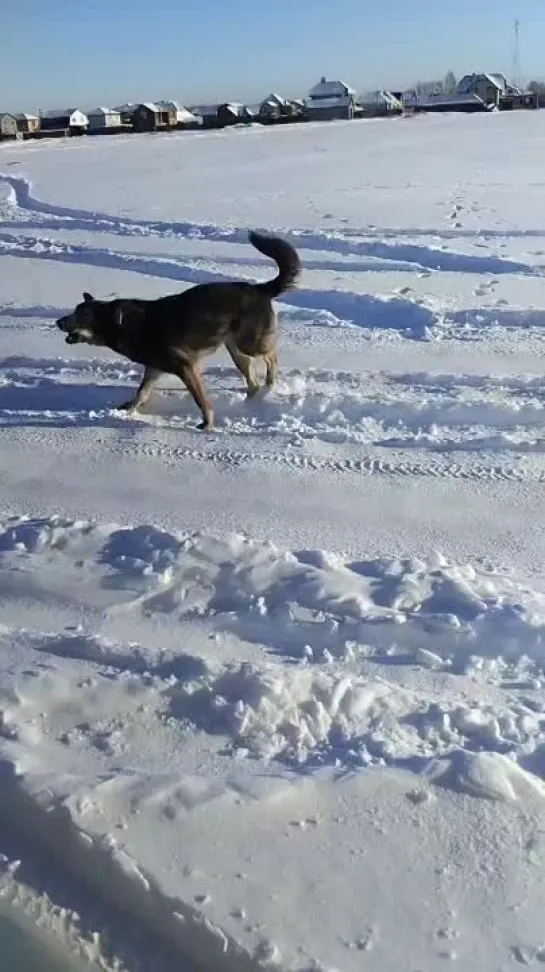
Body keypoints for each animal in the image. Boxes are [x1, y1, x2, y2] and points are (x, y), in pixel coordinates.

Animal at [57, 232, 300, 430]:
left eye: (78, 315)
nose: (58, 322)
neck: (120, 322)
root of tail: (259, 288)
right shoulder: (154, 369)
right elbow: (141, 394)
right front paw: (127, 411)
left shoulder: (186, 368)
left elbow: (200, 400)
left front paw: (207, 423)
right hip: (237, 351)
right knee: (253, 382)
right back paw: (249, 403)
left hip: (248, 344)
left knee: (271, 356)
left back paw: (270, 383)